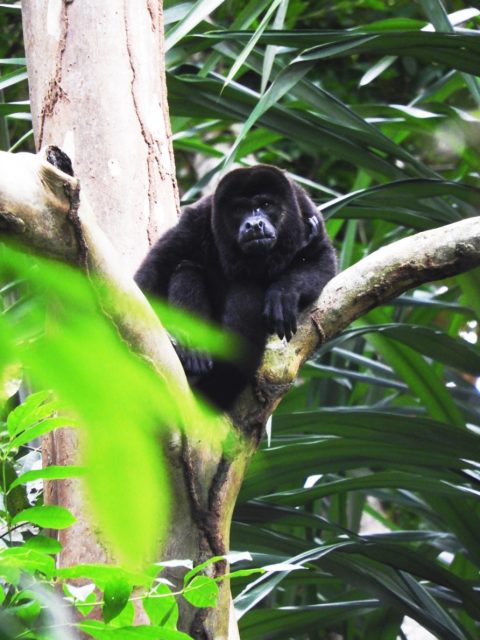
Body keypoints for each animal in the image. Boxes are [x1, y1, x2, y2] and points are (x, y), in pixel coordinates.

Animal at [134, 165, 338, 410]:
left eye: (266, 205)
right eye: (239, 209)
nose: (254, 224)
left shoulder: (306, 209)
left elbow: (323, 259)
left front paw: (284, 294)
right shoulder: (196, 221)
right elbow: (154, 272)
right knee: (187, 270)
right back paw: (194, 353)